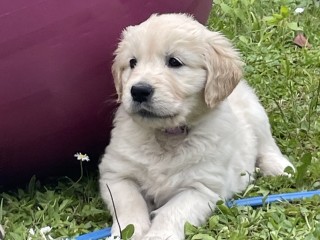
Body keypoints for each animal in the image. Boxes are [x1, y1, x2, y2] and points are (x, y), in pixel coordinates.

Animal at [99, 13, 294, 240]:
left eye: (174, 62)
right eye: (132, 62)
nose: (138, 90)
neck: (167, 135)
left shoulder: (201, 188)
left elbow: (171, 212)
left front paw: (158, 235)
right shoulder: (115, 175)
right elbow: (130, 205)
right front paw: (131, 232)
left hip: (257, 115)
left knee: (267, 147)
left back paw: (282, 169)